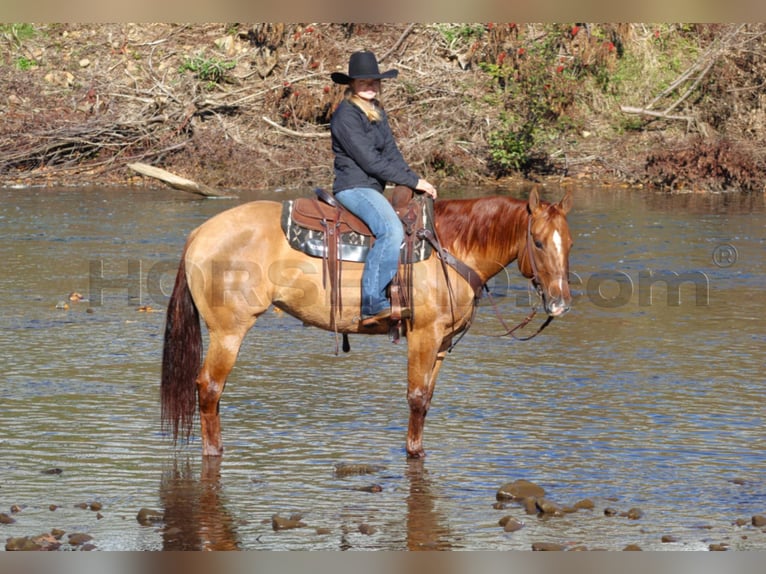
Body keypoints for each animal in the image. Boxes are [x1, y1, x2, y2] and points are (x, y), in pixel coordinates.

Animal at [160, 189, 568, 460]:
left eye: (569, 242)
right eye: (538, 242)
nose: (560, 303)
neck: (449, 248)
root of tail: (199, 234)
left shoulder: (441, 343)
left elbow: (427, 399)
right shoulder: (423, 335)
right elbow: (416, 398)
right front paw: (413, 453)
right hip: (228, 331)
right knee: (209, 388)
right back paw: (214, 451)